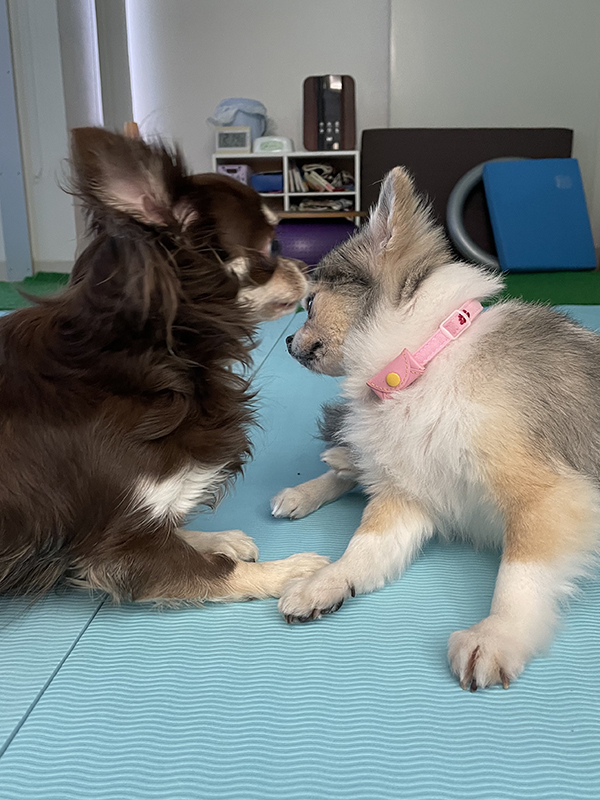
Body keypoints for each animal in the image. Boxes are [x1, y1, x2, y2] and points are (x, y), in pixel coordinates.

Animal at [272, 167, 600, 688]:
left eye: (308, 305)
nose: (284, 340)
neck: (421, 363)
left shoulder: (548, 496)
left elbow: (519, 573)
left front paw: (498, 634)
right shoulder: (406, 495)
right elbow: (362, 549)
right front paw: (326, 582)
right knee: (352, 469)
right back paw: (309, 486)